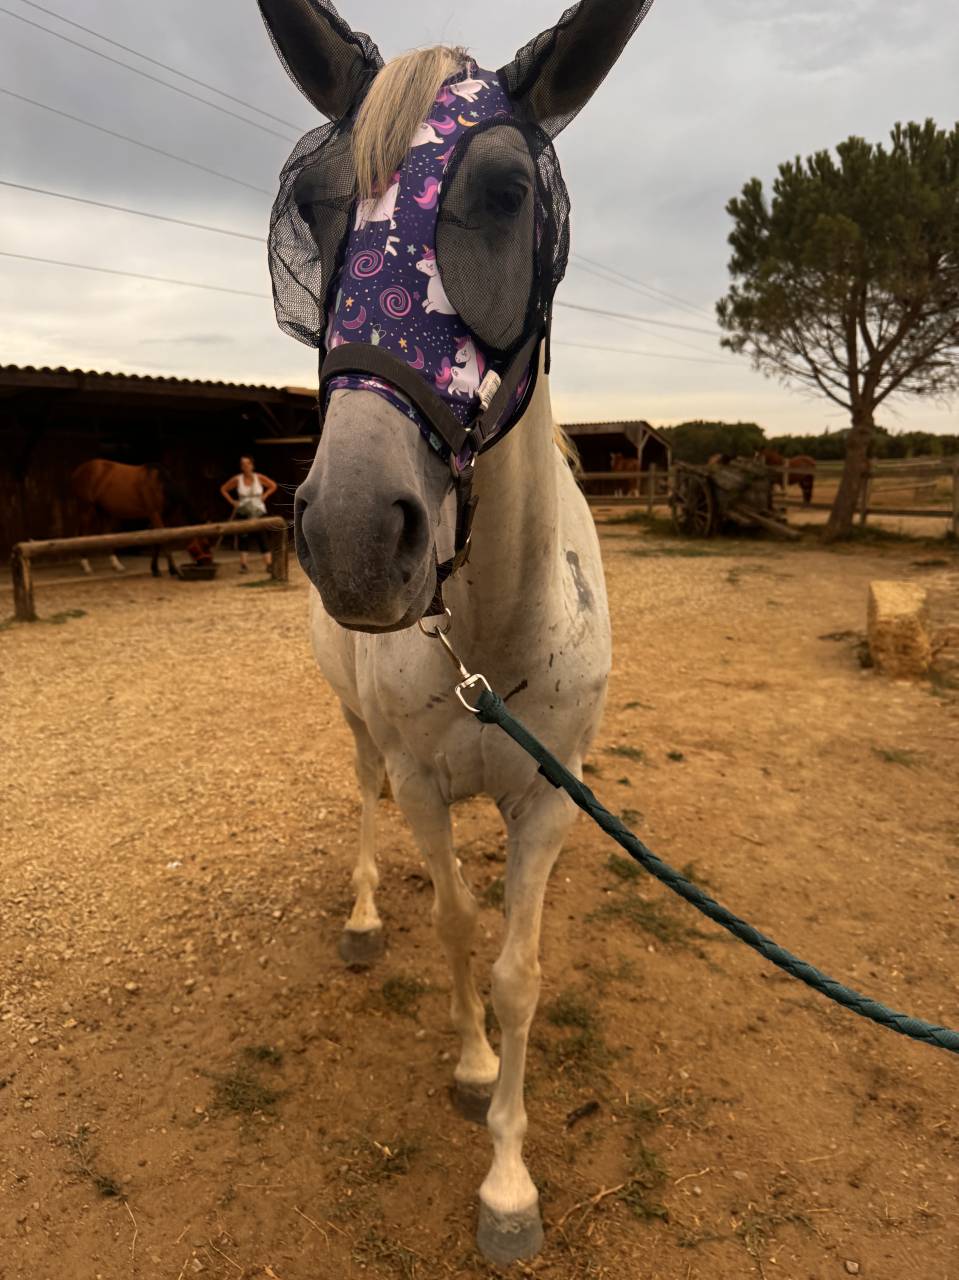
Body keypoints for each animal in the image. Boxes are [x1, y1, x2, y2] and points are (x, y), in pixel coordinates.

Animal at [258, 0, 652, 1262]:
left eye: (507, 194)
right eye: (314, 205)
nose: (350, 531)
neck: (488, 631)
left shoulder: (549, 793)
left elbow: (518, 967)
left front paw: (509, 1179)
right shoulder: (431, 785)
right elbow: (452, 925)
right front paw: (472, 1064)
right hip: (358, 729)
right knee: (364, 794)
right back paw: (361, 915)